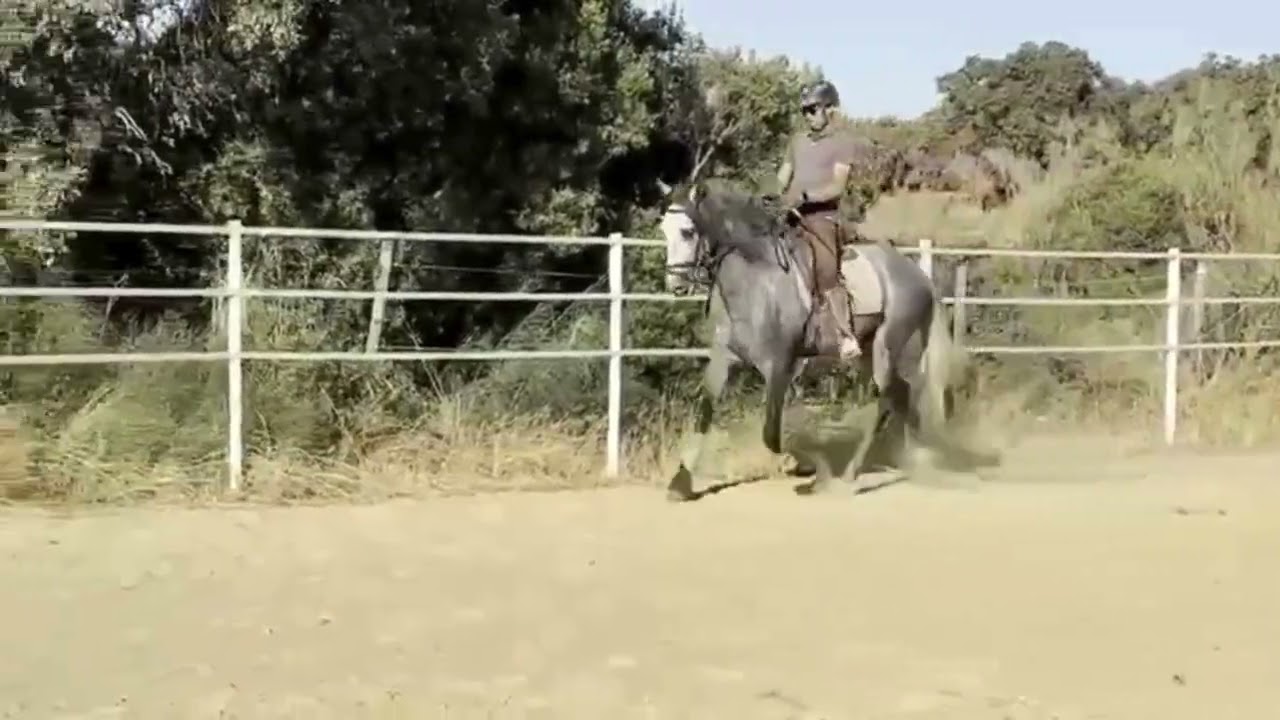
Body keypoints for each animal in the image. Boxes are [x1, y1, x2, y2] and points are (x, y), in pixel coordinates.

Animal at [658, 182, 993, 501]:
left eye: (688, 232)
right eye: (663, 229)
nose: (675, 285)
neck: (756, 280)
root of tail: (920, 278)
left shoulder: (779, 367)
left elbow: (772, 434)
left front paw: (816, 470)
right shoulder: (724, 358)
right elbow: (704, 414)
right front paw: (680, 484)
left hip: (892, 347)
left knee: (890, 399)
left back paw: (854, 475)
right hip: (869, 352)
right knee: (901, 398)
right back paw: (909, 458)